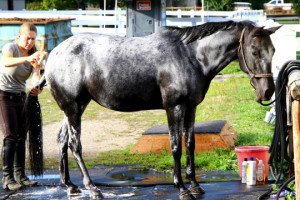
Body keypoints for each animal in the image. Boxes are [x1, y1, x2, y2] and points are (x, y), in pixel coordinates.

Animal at [35, 21, 282, 199]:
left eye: (273, 50)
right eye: (254, 51)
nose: (268, 91)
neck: (190, 56)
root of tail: (54, 54)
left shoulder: (191, 108)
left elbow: (190, 144)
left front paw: (195, 185)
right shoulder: (174, 107)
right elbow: (176, 147)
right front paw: (181, 188)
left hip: (76, 107)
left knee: (62, 140)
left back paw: (70, 185)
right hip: (73, 108)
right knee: (74, 145)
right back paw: (93, 188)